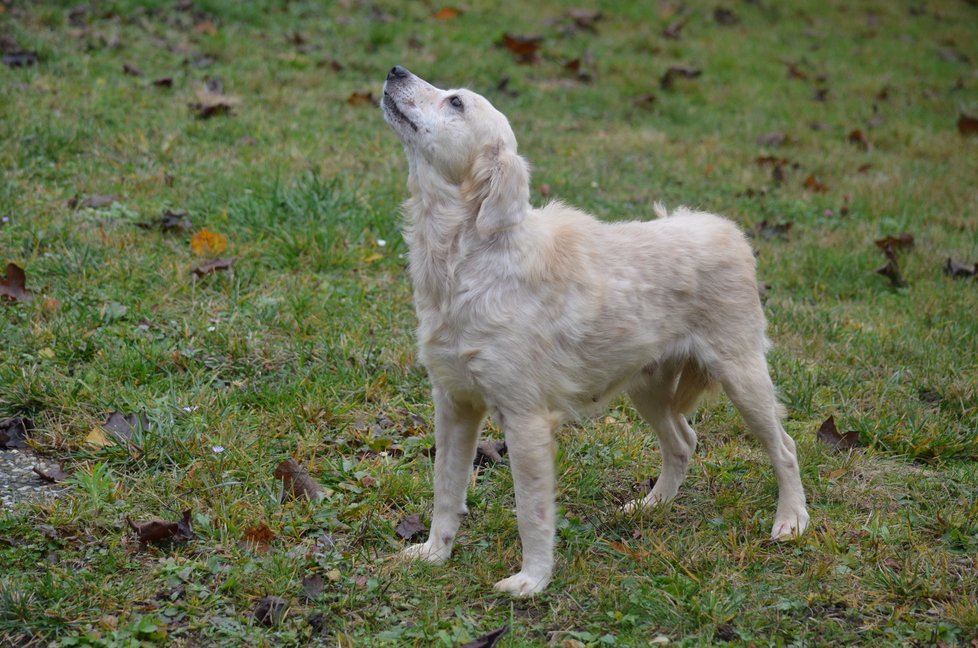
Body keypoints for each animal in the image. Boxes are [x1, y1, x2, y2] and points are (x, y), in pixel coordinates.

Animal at [382, 66, 808, 596]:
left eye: (456, 102)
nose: (395, 71)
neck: (467, 261)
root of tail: (727, 229)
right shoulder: (454, 405)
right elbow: (445, 490)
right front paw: (434, 554)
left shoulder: (526, 420)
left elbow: (532, 513)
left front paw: (532, 580)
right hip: (646, 386)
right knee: (683, 443)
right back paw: (651, 506)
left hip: (742, 377)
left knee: (784, 448)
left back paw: (791, 520)